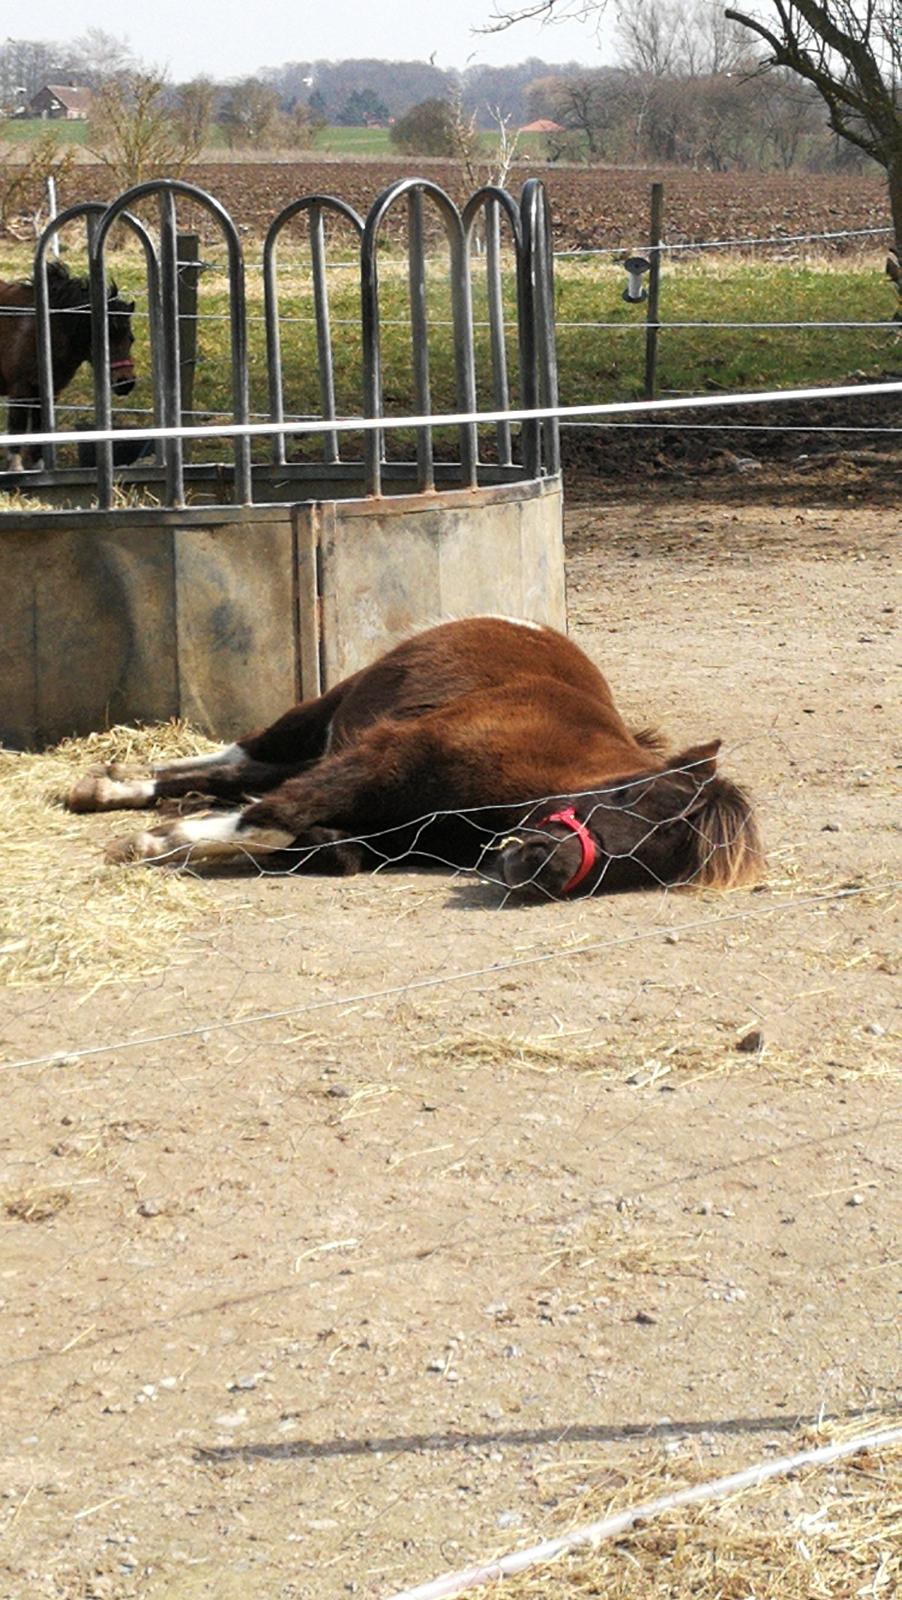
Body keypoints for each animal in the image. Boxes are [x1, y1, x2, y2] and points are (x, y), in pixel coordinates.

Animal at [0, 259, 135, 470]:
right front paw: (16, 468)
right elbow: (17, 428)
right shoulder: (20, 391)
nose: (125, 383)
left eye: (130, 339)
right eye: (103, 339)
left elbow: (40, 429)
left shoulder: (48, 392)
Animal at [66, 614, 764, 902]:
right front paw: (151, 843)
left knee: (241, 772)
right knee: (242, 756)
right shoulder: (380, 761)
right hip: (321, 714)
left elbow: (314, 840)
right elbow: (268, 815)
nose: (544, 866)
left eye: (653, 863)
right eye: (630, 798)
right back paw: (111, 789)